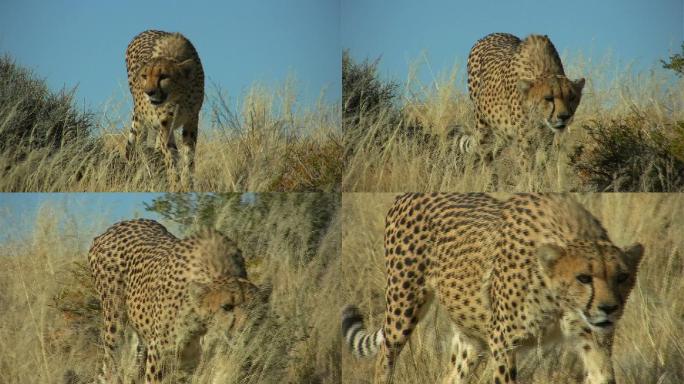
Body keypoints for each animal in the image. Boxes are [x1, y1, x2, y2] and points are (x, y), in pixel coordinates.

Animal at [89, 219, 260, 384]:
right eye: (226, 307)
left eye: (254, 309)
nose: (244, 331)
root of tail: (112, 229)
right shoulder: (159, 351)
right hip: (114, 322)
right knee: (111, 363)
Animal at [125, 29, 204, 188]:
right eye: (144, 76)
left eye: (163, 76)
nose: (148, 92)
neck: (179, 96)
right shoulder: (165, 124)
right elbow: (170, 155)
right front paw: (175, 183)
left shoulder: (192, 119)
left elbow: (189, 155)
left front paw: (187, 182)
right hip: (140, 119)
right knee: (140, 142)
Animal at [344, 195, 644, 384]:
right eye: (583, 278)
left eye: (622, 277)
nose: (609, 309)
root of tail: (406, 195)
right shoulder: (503, 342)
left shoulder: (594, 343)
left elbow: (602, 374)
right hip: (402, 307)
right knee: (384, 358)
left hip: (470, 336)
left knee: (451, 376)